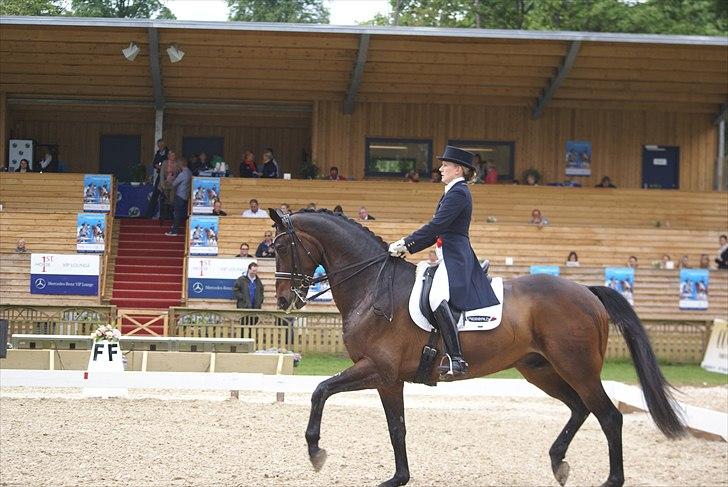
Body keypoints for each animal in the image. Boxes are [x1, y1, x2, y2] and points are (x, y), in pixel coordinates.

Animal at [268, 210, 684, 487]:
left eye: (282, 247)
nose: (285, 299)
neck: (373, 285)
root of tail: (586, 291)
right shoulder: (389, 379)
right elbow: (396, 427)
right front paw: (399, 477)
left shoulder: (377, 368)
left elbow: (321, 390)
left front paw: (315, 451)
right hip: (540, 369)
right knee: (580, 409)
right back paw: (557, 462)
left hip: (577, 368)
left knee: (609, 416)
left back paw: (610, 479)